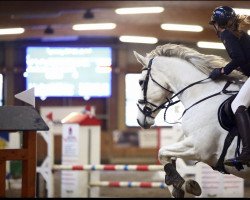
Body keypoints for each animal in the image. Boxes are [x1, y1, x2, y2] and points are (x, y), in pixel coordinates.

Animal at [135, 43, 250, 198]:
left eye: (141, 82)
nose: (139, 119)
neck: (203, 94)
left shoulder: (198, 148)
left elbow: (162, 153)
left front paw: (182, 184)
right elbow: (169, 158)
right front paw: (179, 186)